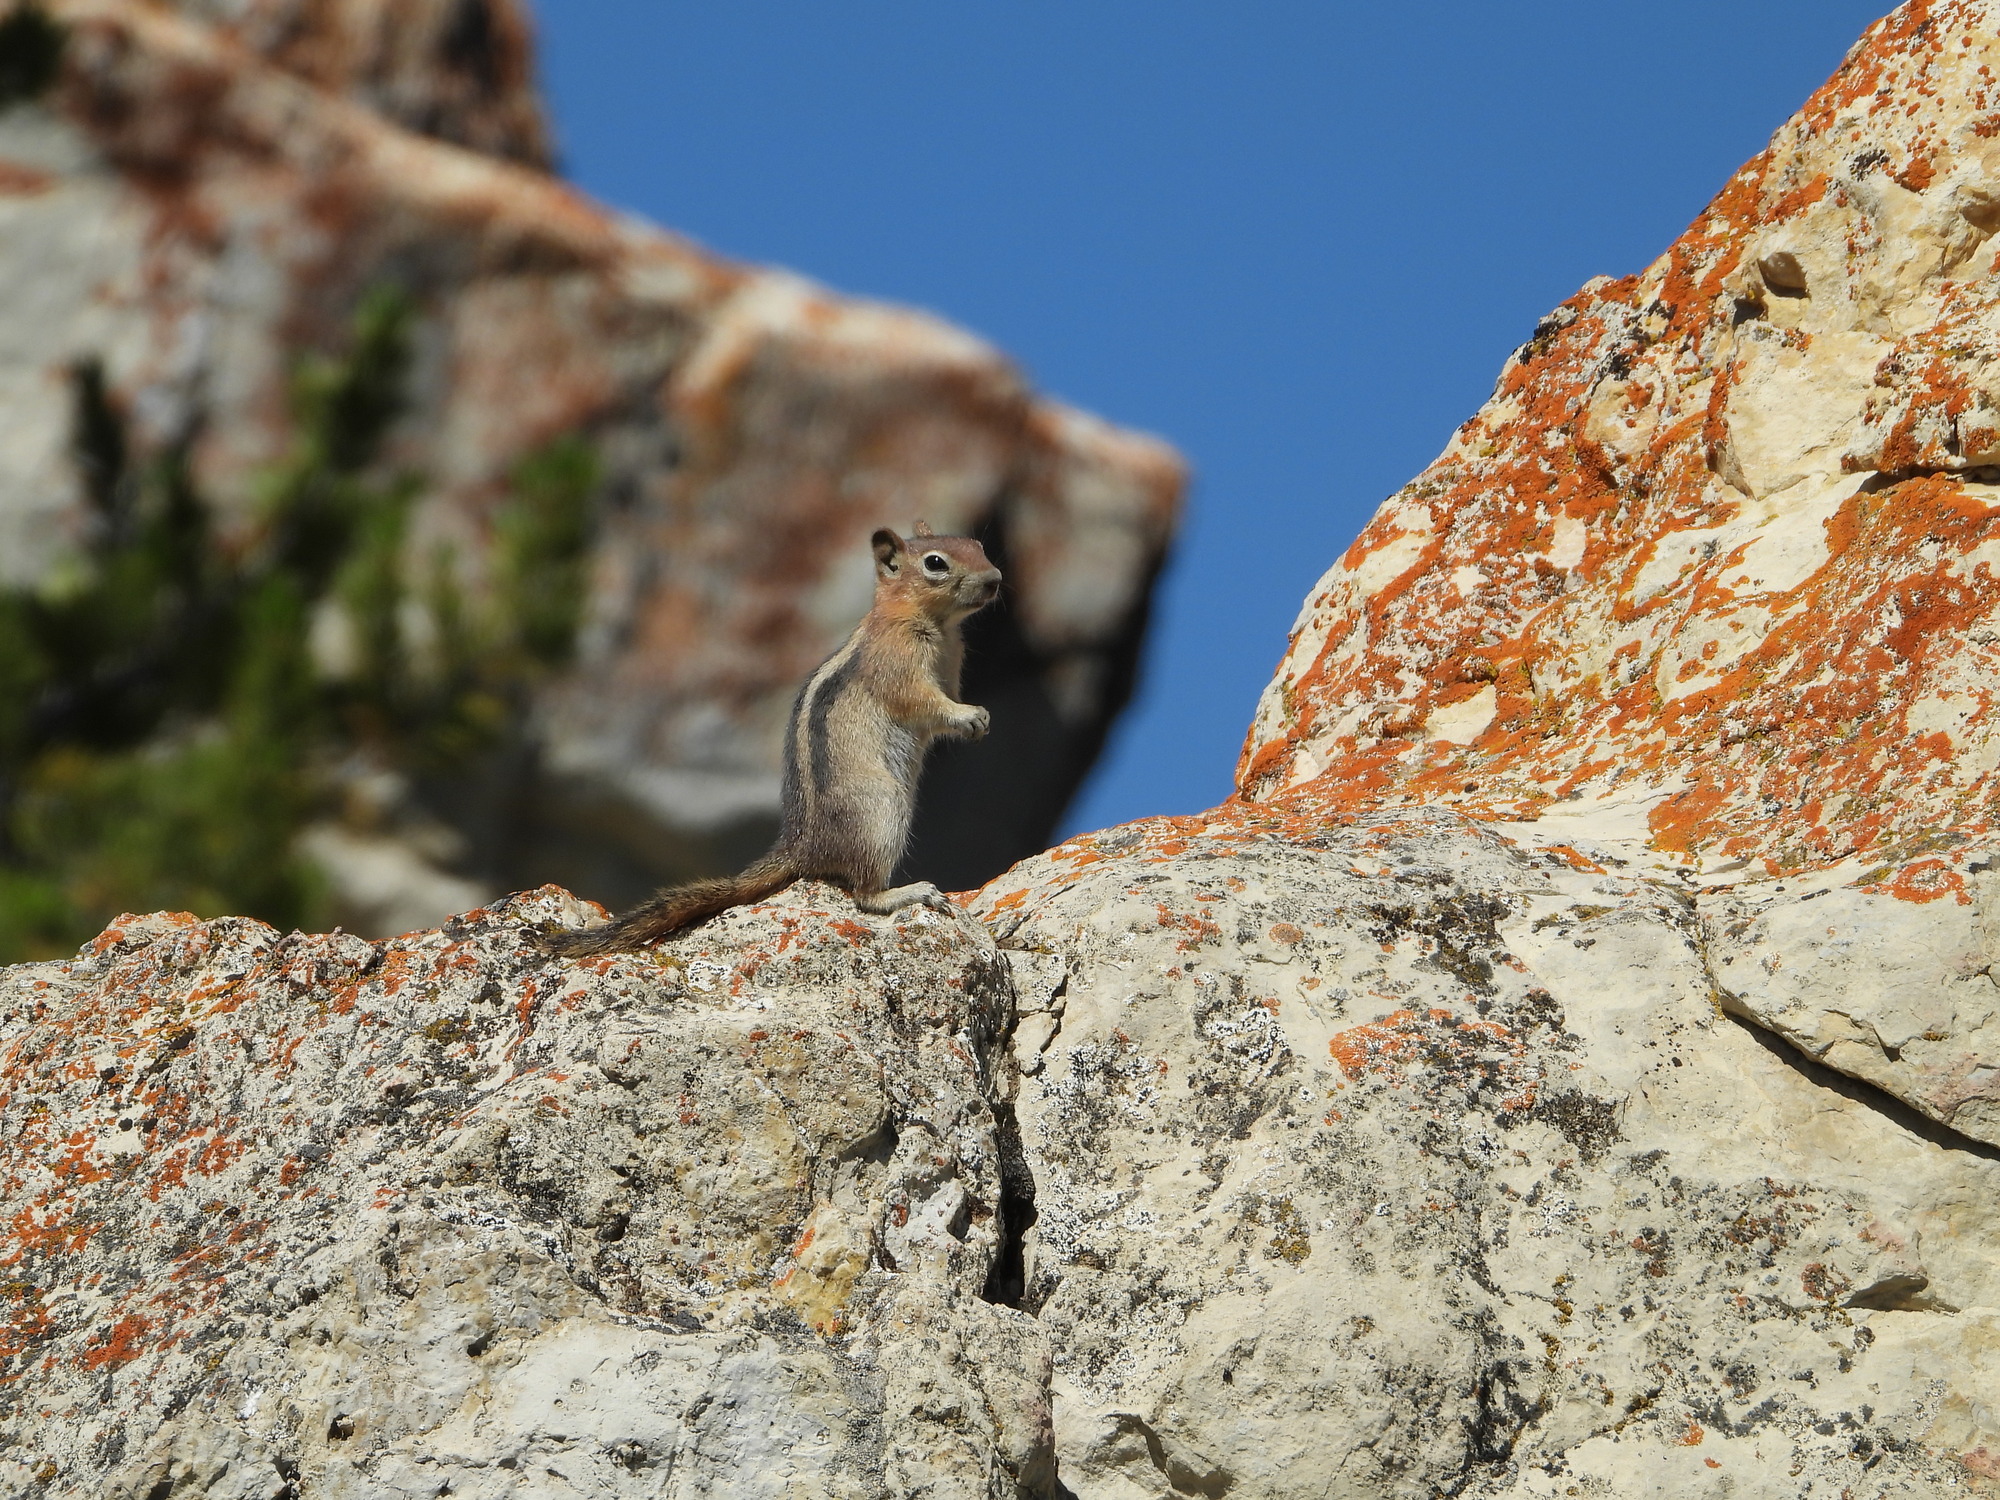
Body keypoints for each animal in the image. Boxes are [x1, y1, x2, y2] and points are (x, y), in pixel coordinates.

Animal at [542, 522, 1001, 956]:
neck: (936, 625)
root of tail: (802, 847)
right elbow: (923, 702)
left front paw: (979, 717)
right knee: (862, 893)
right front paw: (968, 715)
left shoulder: (951, 664)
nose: (995, 578)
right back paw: (909, 892)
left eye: (977, 546)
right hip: (881, 809)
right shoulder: (898, 664)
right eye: (935, 563)